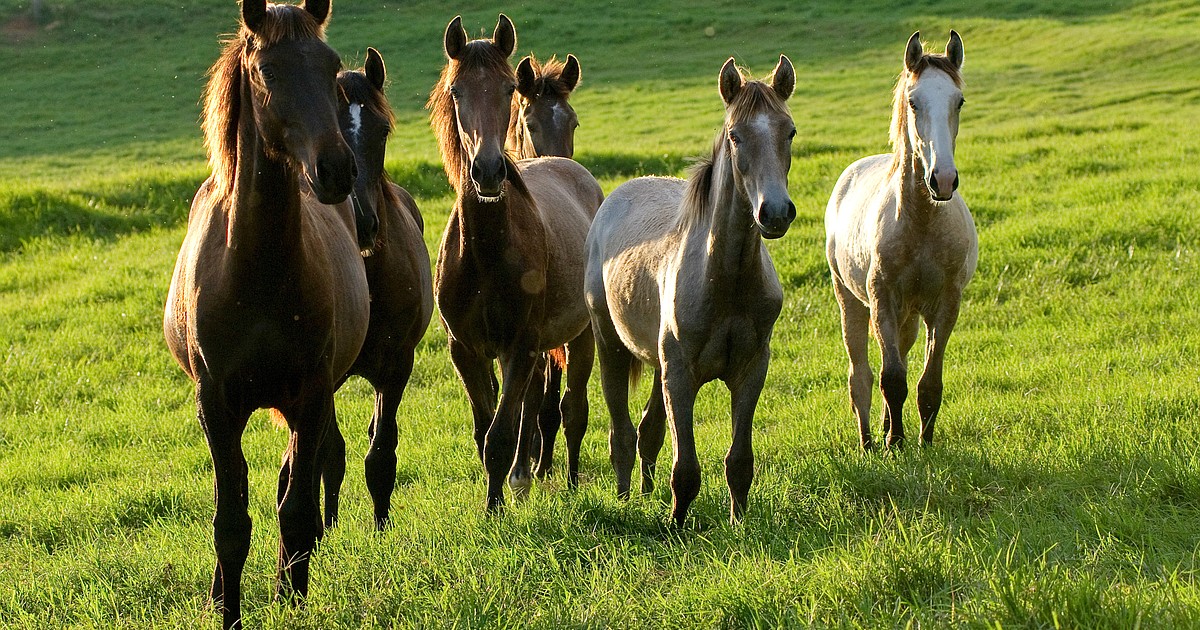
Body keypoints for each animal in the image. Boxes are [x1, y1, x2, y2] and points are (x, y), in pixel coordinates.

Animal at [162, 1, 367, 627]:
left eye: (330, 66)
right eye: (270, 70)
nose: (335, 169)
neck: (256, 269)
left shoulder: (311, 393)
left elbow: (296, 512)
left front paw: (291, 599)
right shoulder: (216, 404)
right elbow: (230, 523)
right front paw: (226, 609)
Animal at [427, 14, 603, 511]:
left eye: (508, 90)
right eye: (457, 92)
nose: (487, 171)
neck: (485, 251)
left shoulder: (521, 346)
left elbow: (502, 434)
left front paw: (499, 505)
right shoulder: (466, 351)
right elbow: (483, 430)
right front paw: (498, 499)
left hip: (582, 335)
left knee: (573, 408)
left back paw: (567, 480)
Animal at [585, 56, 797, 526]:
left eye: (789, 130)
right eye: (735, 135)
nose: (774, 212)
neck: (724, 280)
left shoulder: (751, 368)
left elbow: (739, 461)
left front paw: (738, 523)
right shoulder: (679, 374)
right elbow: (685, 469)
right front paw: (676, 526)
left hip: (653, 357)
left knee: (647, 430)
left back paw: (645, 494)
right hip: (610, 345)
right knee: (622, 434)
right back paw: (626, 500)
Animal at [824, 31, 978, 450]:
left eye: (959, 101)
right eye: (913, 101)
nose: (943, 180)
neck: (921, 223)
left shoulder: (945, 305)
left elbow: (927, 383)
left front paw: (923, 441)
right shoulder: (883, 300)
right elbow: (891, 379)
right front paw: (895, 443)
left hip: (908, 315)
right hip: (851, 302)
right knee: (860, 375)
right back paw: (868, 441)